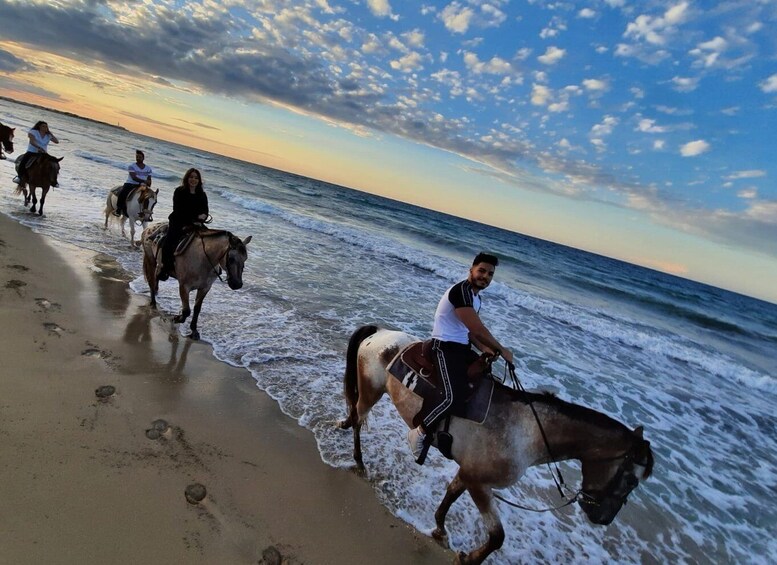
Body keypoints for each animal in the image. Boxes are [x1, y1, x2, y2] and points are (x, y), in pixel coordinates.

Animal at [340, 324, 656, 564]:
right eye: (631, 480)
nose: (603, 518)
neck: (526, 431)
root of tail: (381, 333)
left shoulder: (468, 472)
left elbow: (449, 496)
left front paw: (440, 529)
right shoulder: (480, 484)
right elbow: (497, 537)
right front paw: (468, 558)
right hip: (371, 391)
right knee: (358, 419)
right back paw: (358, 459)